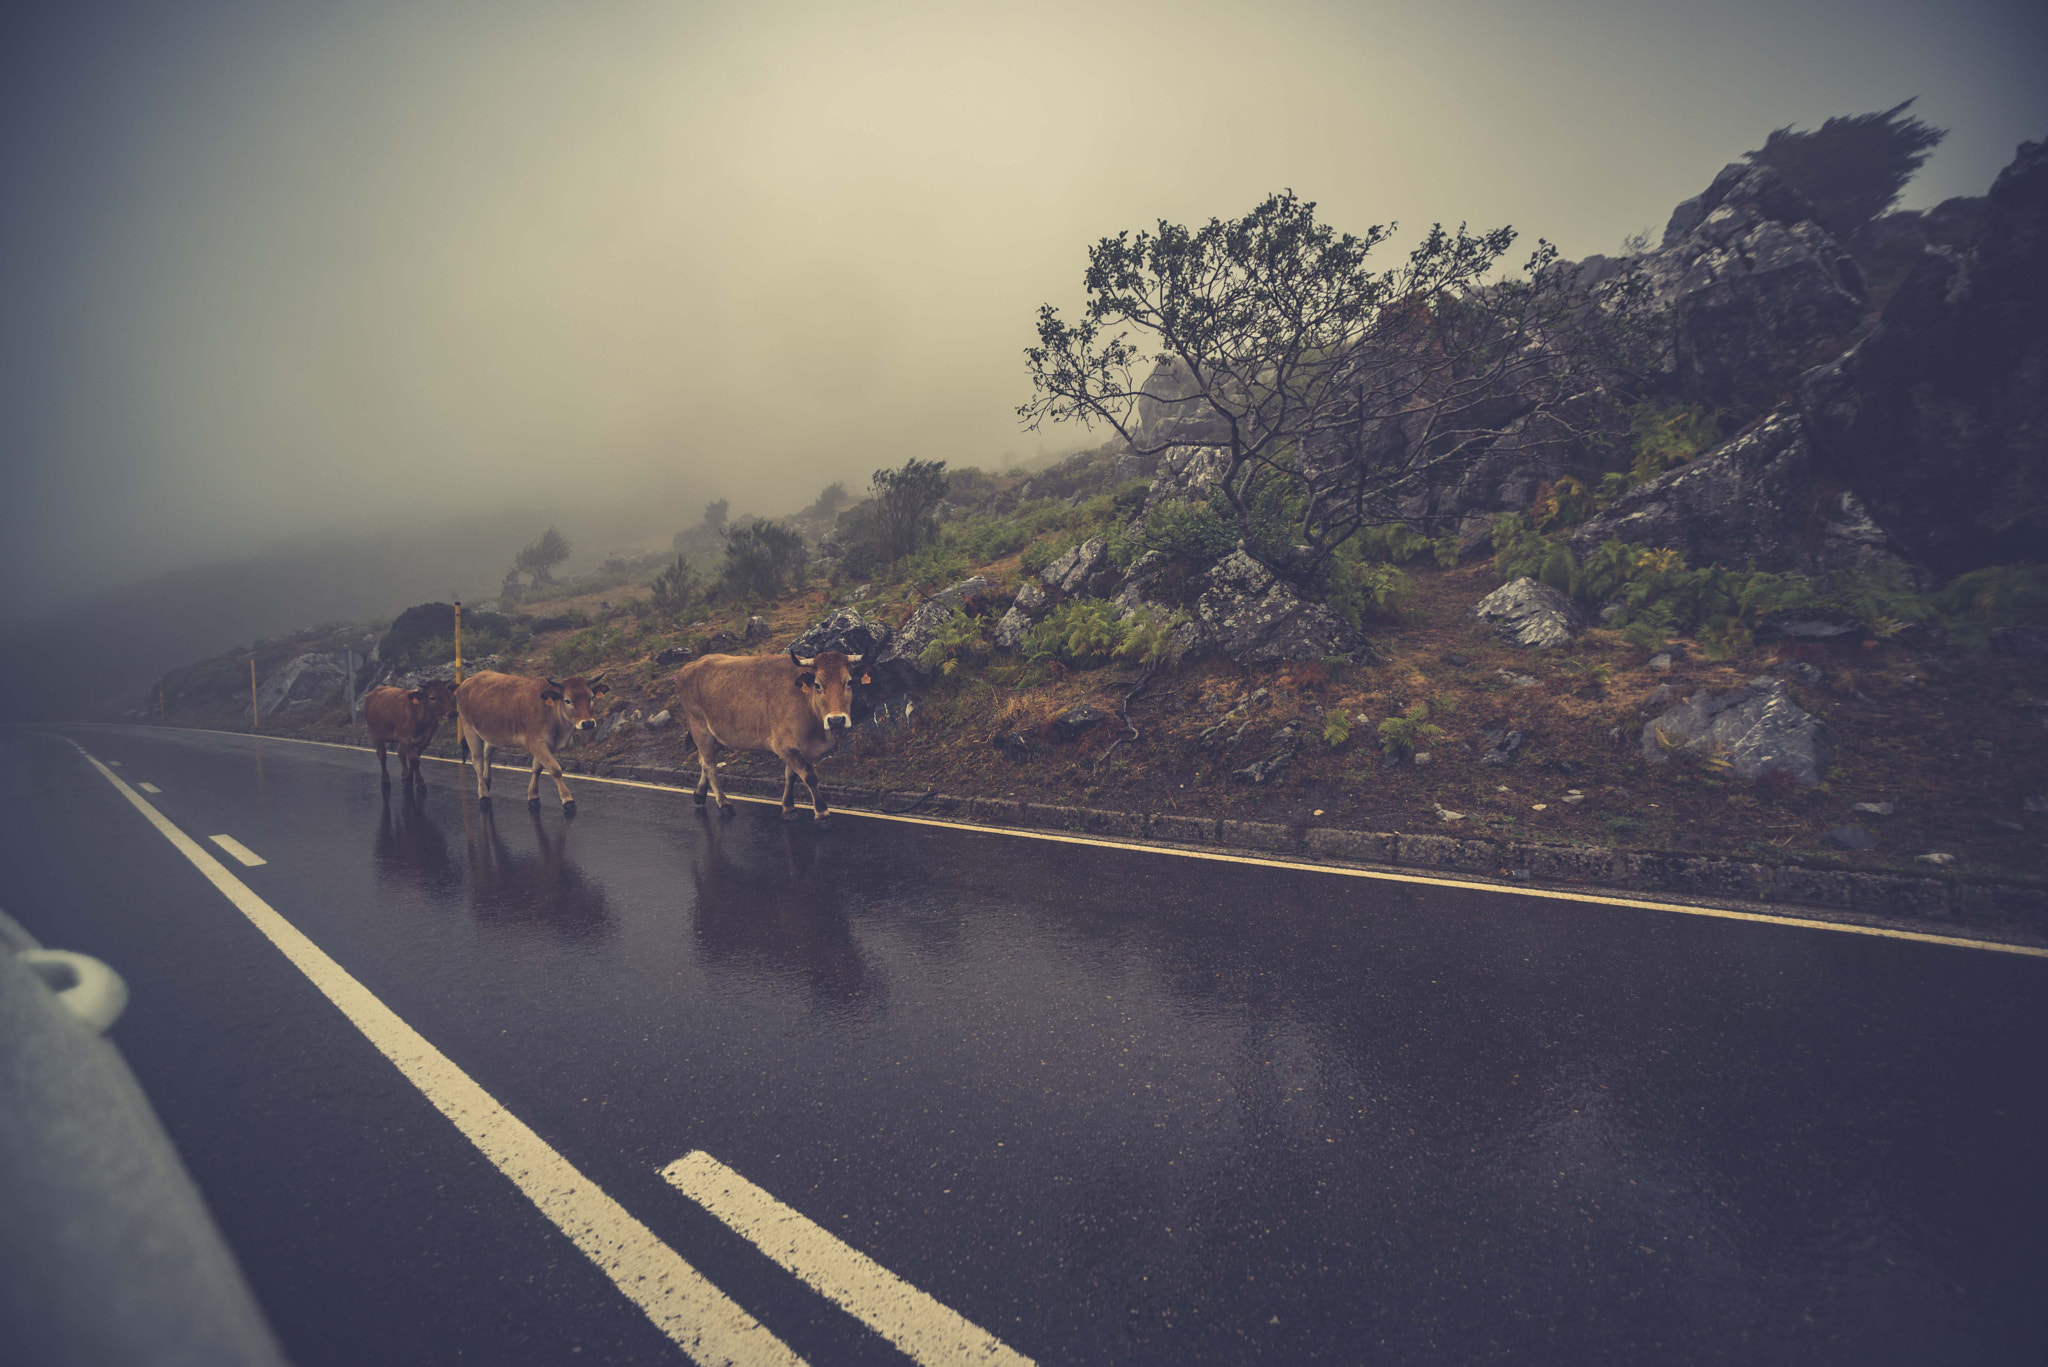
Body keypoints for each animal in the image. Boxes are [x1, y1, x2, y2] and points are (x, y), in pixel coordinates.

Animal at [450, 672, 602, 811]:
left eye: (592, 697)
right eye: (568, 700)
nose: (588, 723)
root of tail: (466, 682)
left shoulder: (549, 744)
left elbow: (537, 768)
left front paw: (533, 796)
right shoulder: (535, 741)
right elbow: (555, 769)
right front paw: (567, 800)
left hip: (491, 733)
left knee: (488, 753)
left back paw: (487, 782)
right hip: (469, 729)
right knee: (477, 762)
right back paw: (484, 795)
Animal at [671, 647, 864, 819]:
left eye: (849, 682)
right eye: (818, 684)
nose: (836, 720)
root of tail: (690, 666)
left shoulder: (799, 748)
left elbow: (791, 775)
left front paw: (788, 808)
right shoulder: (784, 745)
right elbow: (809, 775)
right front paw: (822, 813)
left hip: (714, 735)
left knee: (703, 761)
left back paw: (699, 793)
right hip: (700, 728)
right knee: (710, 765)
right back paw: (724, 804)